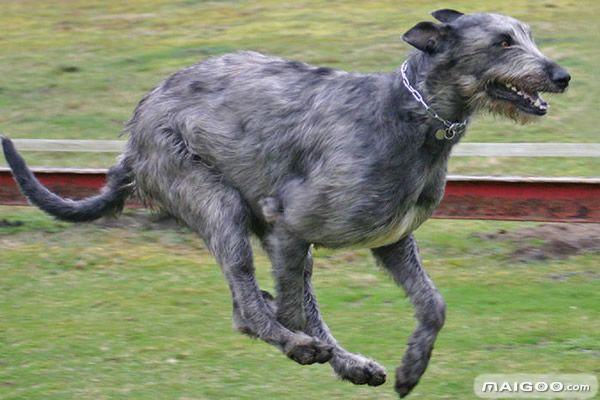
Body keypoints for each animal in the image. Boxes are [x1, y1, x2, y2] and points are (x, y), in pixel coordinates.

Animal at [2, 8, 568, 396]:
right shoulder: (291, 225)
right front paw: (311, 344)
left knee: (252, 303)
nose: (562, 75)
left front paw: (412, 368)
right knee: (249, 307)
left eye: (528, 35)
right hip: (214, 199)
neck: (411, 115)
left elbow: (434, 304)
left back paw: (346, 361)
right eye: (502, 41)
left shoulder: (391, 240)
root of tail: (133, 137)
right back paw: (302, 346)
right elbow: (299, 307)